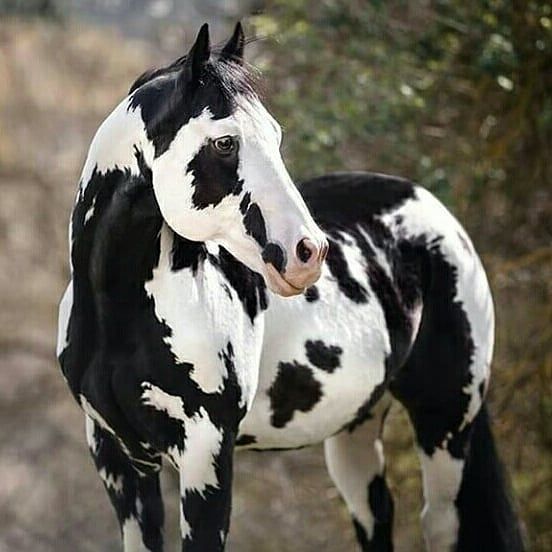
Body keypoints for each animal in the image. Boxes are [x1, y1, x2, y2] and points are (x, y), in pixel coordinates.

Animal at [57, 22, 528, 552]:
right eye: (225, 143)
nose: (308, 252)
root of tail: (431, 208)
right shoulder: (118, 457)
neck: (117, 315)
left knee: (442, 523)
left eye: (275, 136)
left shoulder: (205, 451)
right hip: (356, 429)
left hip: (447, 421)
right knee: (378, 513)